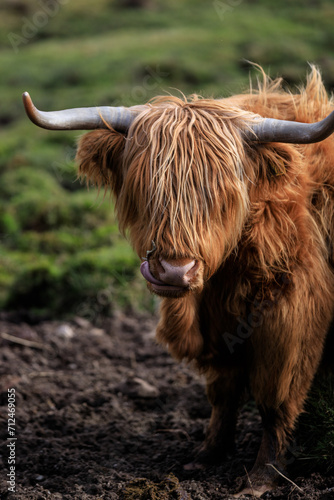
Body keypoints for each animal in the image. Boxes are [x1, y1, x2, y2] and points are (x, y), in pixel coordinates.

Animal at [22, 67, 334, 496]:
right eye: (145, 188)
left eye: (222, 194)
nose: (173, 270)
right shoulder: (218, 327)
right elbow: (222, 391)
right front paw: (205, 457)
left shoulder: (291, 320)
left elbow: (276, 399)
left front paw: (260, 478)